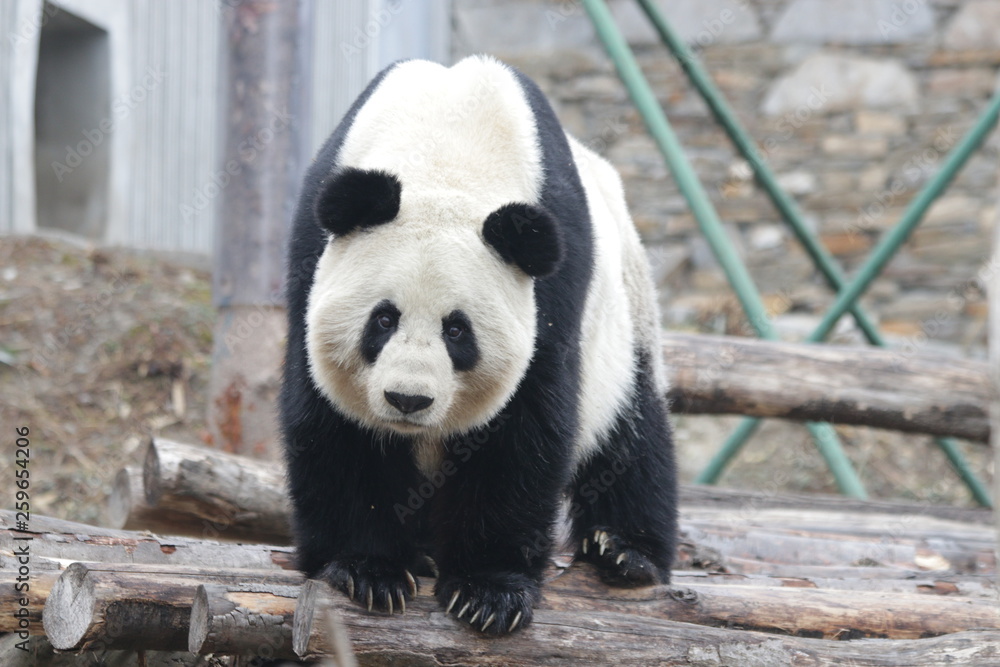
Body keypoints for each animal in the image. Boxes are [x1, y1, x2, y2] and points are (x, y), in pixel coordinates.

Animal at [281, 55, 677, 636]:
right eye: (383, 319)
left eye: (457, 331)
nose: (407, 400)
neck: (448, 153)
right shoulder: (311, 256)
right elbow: (334, 424)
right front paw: (367, 570)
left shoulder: (554, 289)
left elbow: (521, 432)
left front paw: (487, 592)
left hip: (628, 309)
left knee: (633, 430)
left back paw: (625, 551)